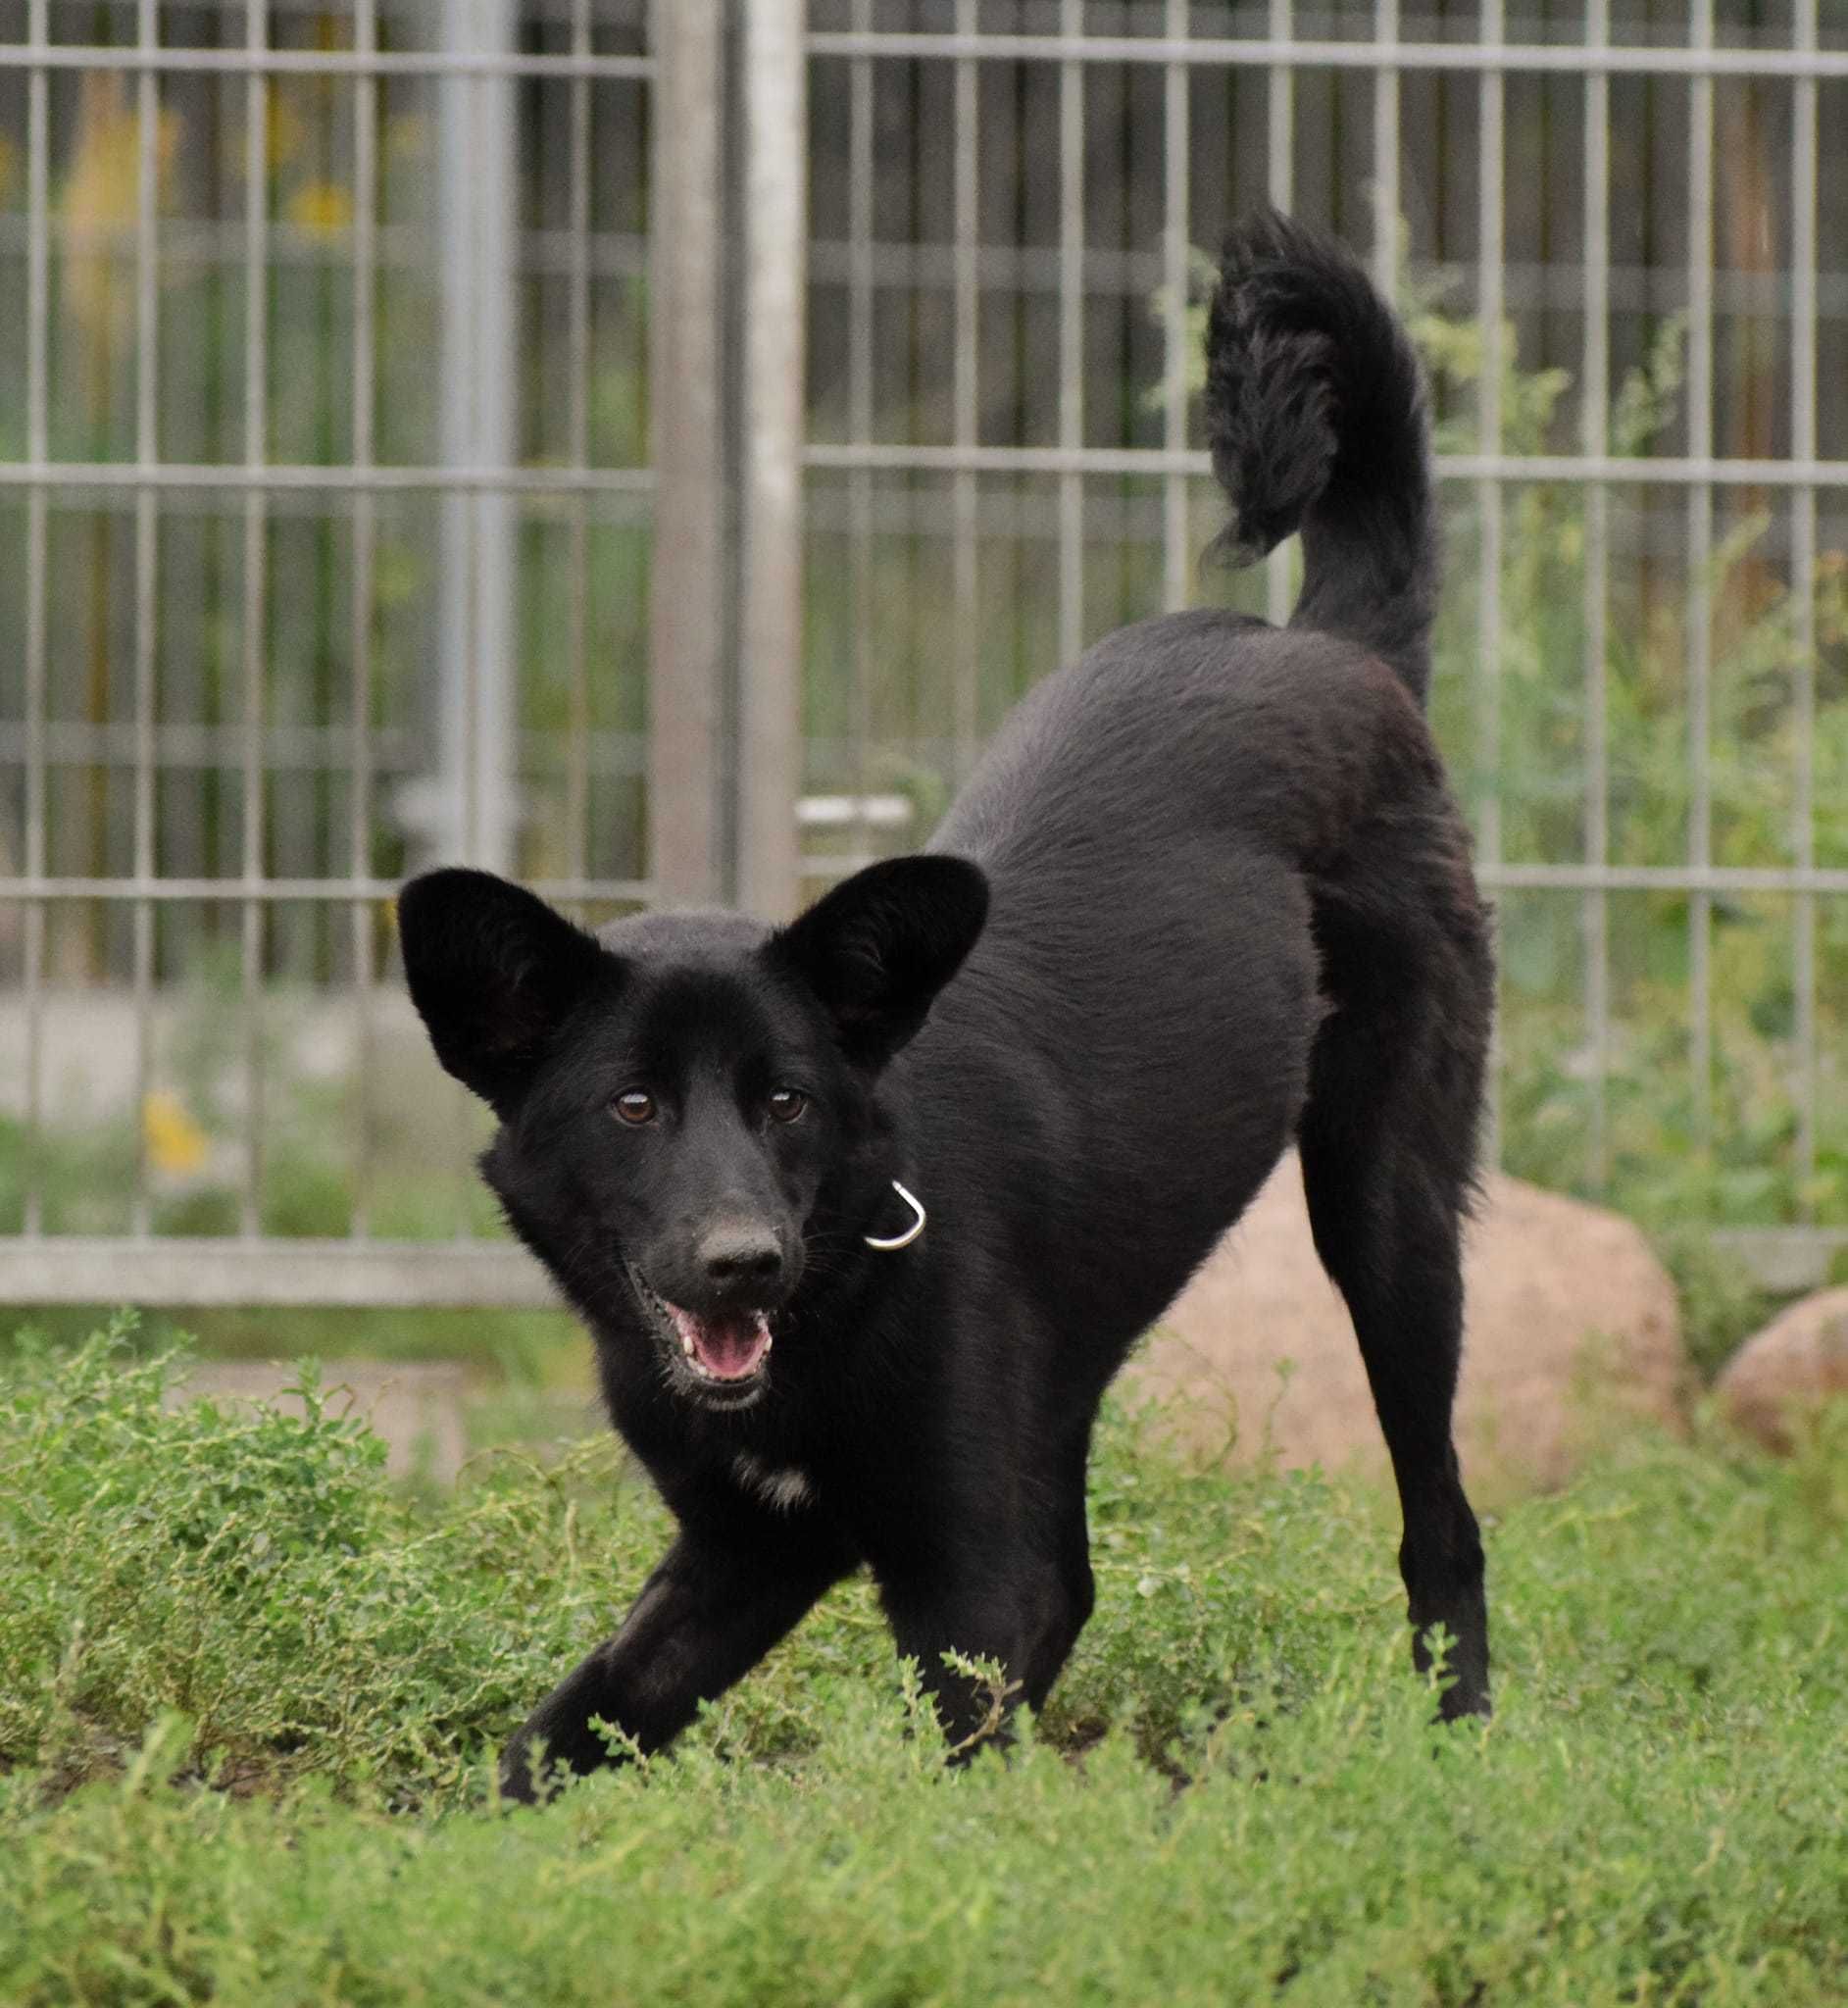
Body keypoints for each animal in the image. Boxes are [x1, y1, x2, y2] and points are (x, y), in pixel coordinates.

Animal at [399, 212, 1486, 1799]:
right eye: (633, 1104)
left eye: (786, 1099)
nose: (741, 1263)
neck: (842, 1280)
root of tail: (1335, 644)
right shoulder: (744, 1553)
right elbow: (569, 1725)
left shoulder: (966, 1577)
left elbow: (943, 1773)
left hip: (1388, 1212)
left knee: (1441, 1522)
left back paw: (1462, 1744)